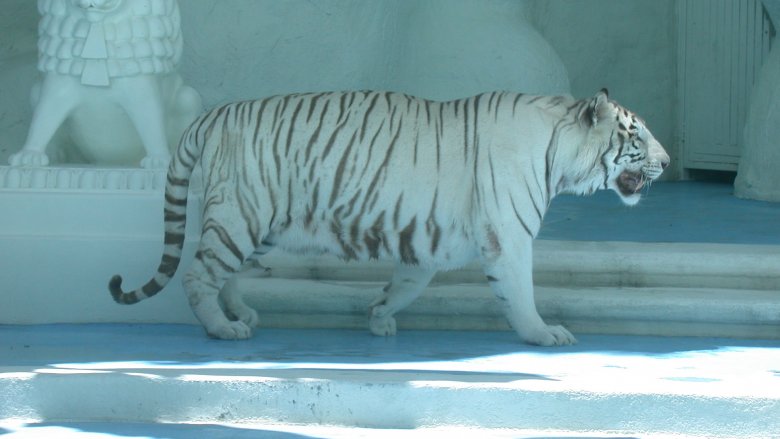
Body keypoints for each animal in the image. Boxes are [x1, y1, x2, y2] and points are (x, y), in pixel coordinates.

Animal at [109, 89, 672, 348]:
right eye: (638, 136)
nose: (667, 163)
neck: (561, 152)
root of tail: (213, 114)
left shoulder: (428, 242)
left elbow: (405, 285)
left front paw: (379, 317)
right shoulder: (509, 238)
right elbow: (521, 295)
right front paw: (543, 334)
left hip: (257, 226)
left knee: (224, 272)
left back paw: (240, 313)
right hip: (241, 216)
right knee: (199, 273)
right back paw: (222, 329)